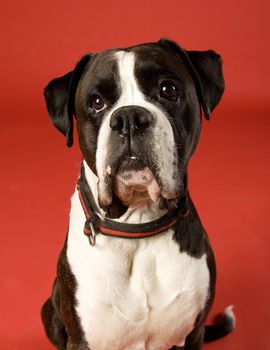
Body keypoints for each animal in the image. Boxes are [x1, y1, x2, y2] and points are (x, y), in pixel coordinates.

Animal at [41, 39, 235, 350]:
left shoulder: (193, 335)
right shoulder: (81, 340)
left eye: (168, 90)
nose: (129, 117)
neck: (138, 228)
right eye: (97, 103)